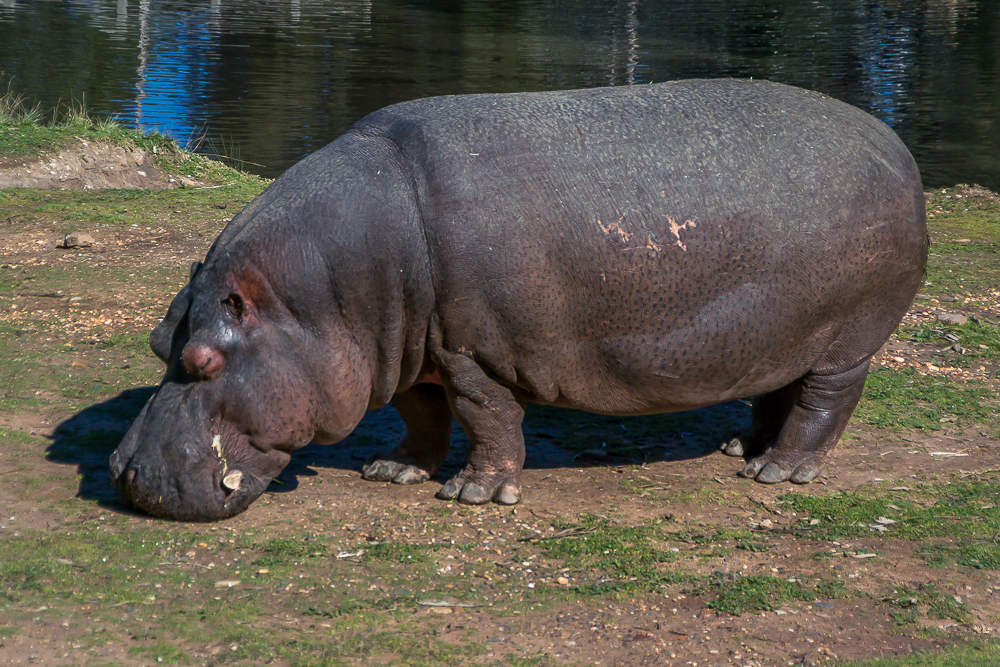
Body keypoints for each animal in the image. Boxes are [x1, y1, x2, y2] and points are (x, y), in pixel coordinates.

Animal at [110, 79, 927, 521]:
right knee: (774, 387)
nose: (122, 472)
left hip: (848, 339)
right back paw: (742, 449)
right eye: (158, 340)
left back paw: (779, 473)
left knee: (824, 401)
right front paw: (394, 471)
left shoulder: (470, 350)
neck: (320, 298)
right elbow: (420, 415)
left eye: (204, 358)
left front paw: (474, 494)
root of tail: (896, 144)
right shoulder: (413, 352)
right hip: (777, 335)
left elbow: (486, 417)